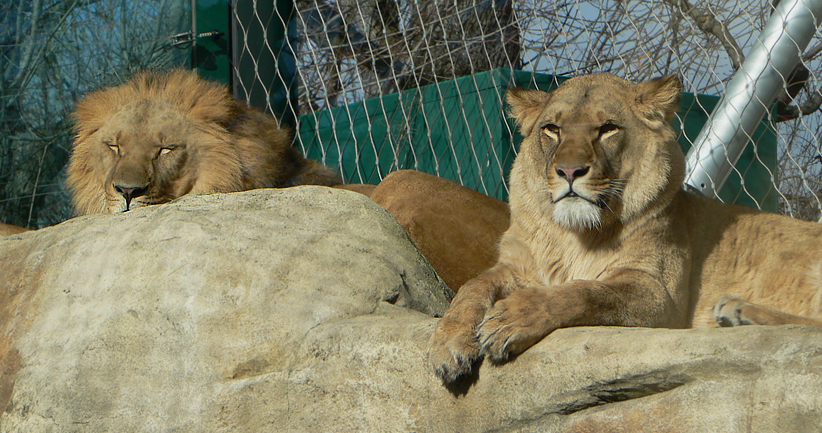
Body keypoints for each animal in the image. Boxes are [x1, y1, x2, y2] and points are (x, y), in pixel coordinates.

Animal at [428, 73, 822, 382]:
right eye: (552, 129)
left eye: (607, 129)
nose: (569, 171)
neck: (572, 235)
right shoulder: (516, 266)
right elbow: (472, 285)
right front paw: (448, 342)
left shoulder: (660, 296)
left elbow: (585, 291)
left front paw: (512, 318)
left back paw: (737, 311)